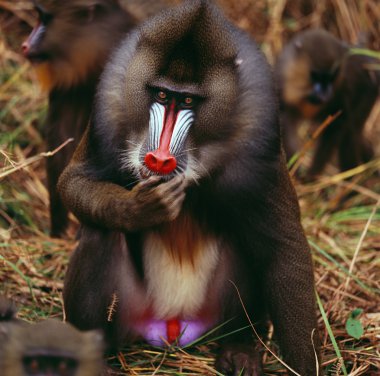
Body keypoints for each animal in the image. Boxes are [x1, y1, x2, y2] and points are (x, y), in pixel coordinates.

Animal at [21, 0, 136, 236]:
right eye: (38, 16)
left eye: (45, 19)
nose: (25, 45)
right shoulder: (71, 89)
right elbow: (62, 144)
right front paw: (58, 230)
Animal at [58, 1, 320, 374]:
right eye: (162, 94)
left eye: (188, 102)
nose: (159, 159)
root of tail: (173, 327)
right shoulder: (108, 113)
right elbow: (75, 182)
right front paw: (137, 209)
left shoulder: (261, 139)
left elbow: (282, 248)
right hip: (132, 311)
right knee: (99, 233)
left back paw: (239, 349)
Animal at [276, 28, 380, 178]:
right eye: (316, 76)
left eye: (332, 76)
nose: (325, 94)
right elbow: (284, 127)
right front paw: (294, 169)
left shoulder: (342, 96)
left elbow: (335, 130)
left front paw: (310, 176)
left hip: (369, 92)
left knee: (350, 135)